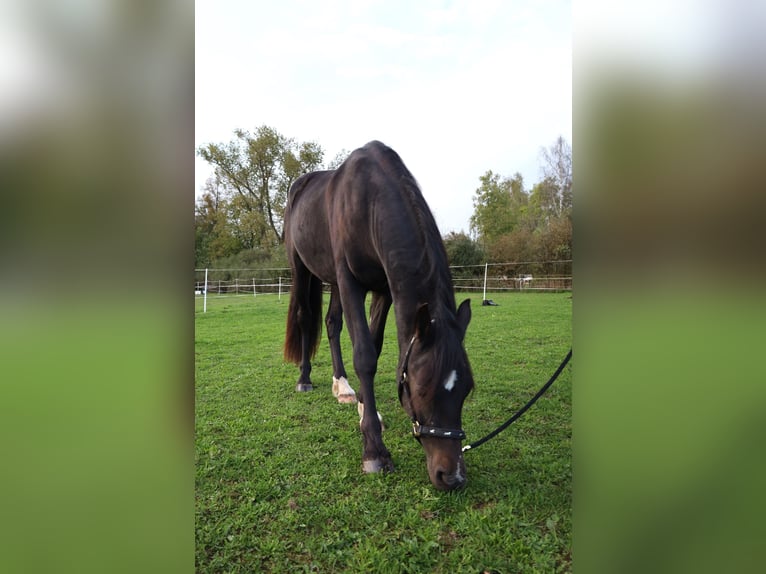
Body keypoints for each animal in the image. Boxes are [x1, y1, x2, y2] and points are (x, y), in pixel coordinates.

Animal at [284, 142, 474, 492]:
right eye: (421, 389)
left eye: (467, 388)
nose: (451, 476)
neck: (368, 198)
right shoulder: (351, 282)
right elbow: (364, 356)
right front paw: (374, 450)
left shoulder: (385, 288)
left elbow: (374, 344)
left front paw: (363, 406)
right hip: (301, 268)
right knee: (305, 318)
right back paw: (304, 380)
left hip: (332, 281)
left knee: (332, 324)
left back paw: (342, 387)